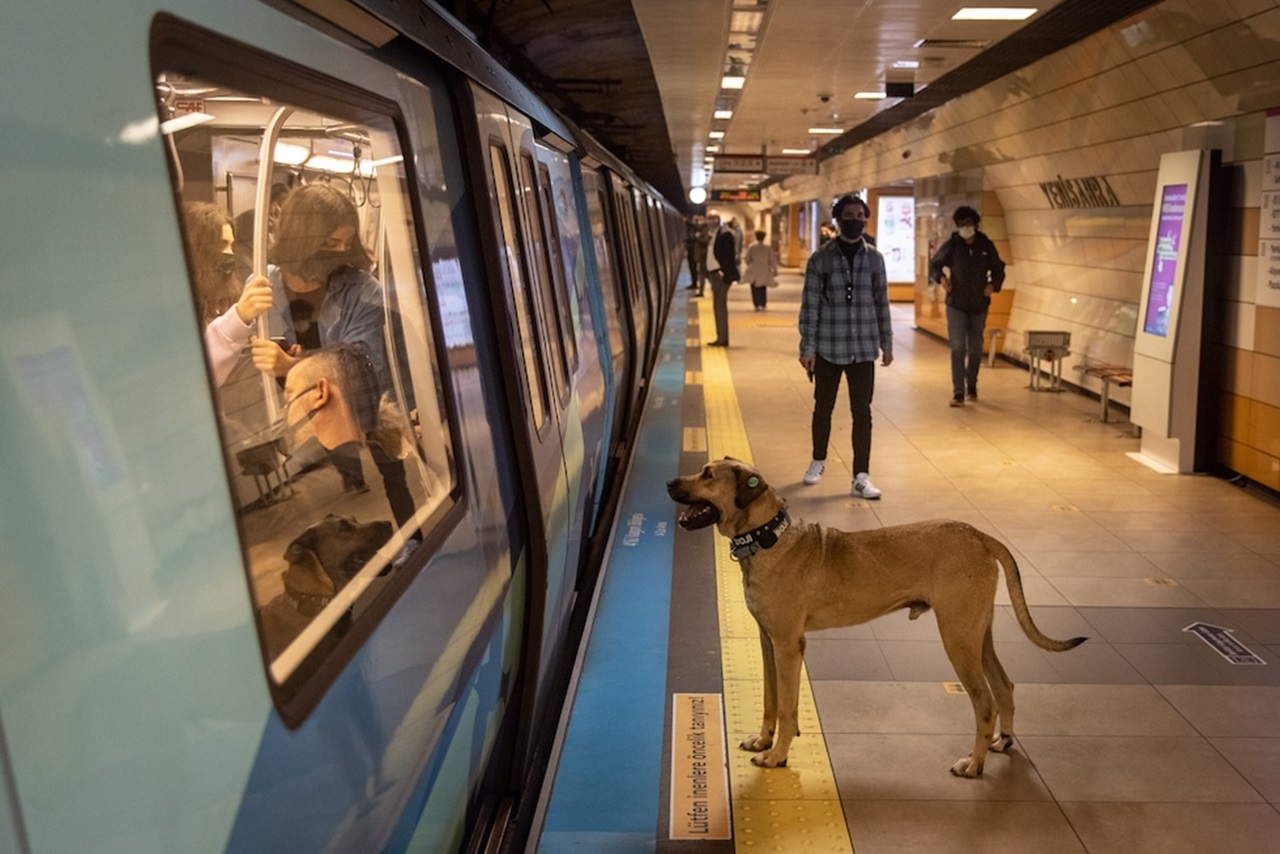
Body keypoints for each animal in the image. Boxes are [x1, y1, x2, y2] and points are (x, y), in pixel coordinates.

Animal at [665, 458, 1085, 778]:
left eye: (707, 475)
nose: (669, 482)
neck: (768, 536)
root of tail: (978, 534)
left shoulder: (788, 646)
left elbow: (786, 706)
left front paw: (777, 755)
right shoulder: (768, 642)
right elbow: (771, 699)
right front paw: (763, 740)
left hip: (958, 638)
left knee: (985, 703)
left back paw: (973, 764)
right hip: (978, 634)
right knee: (1005, 686)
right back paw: (1003, 741)